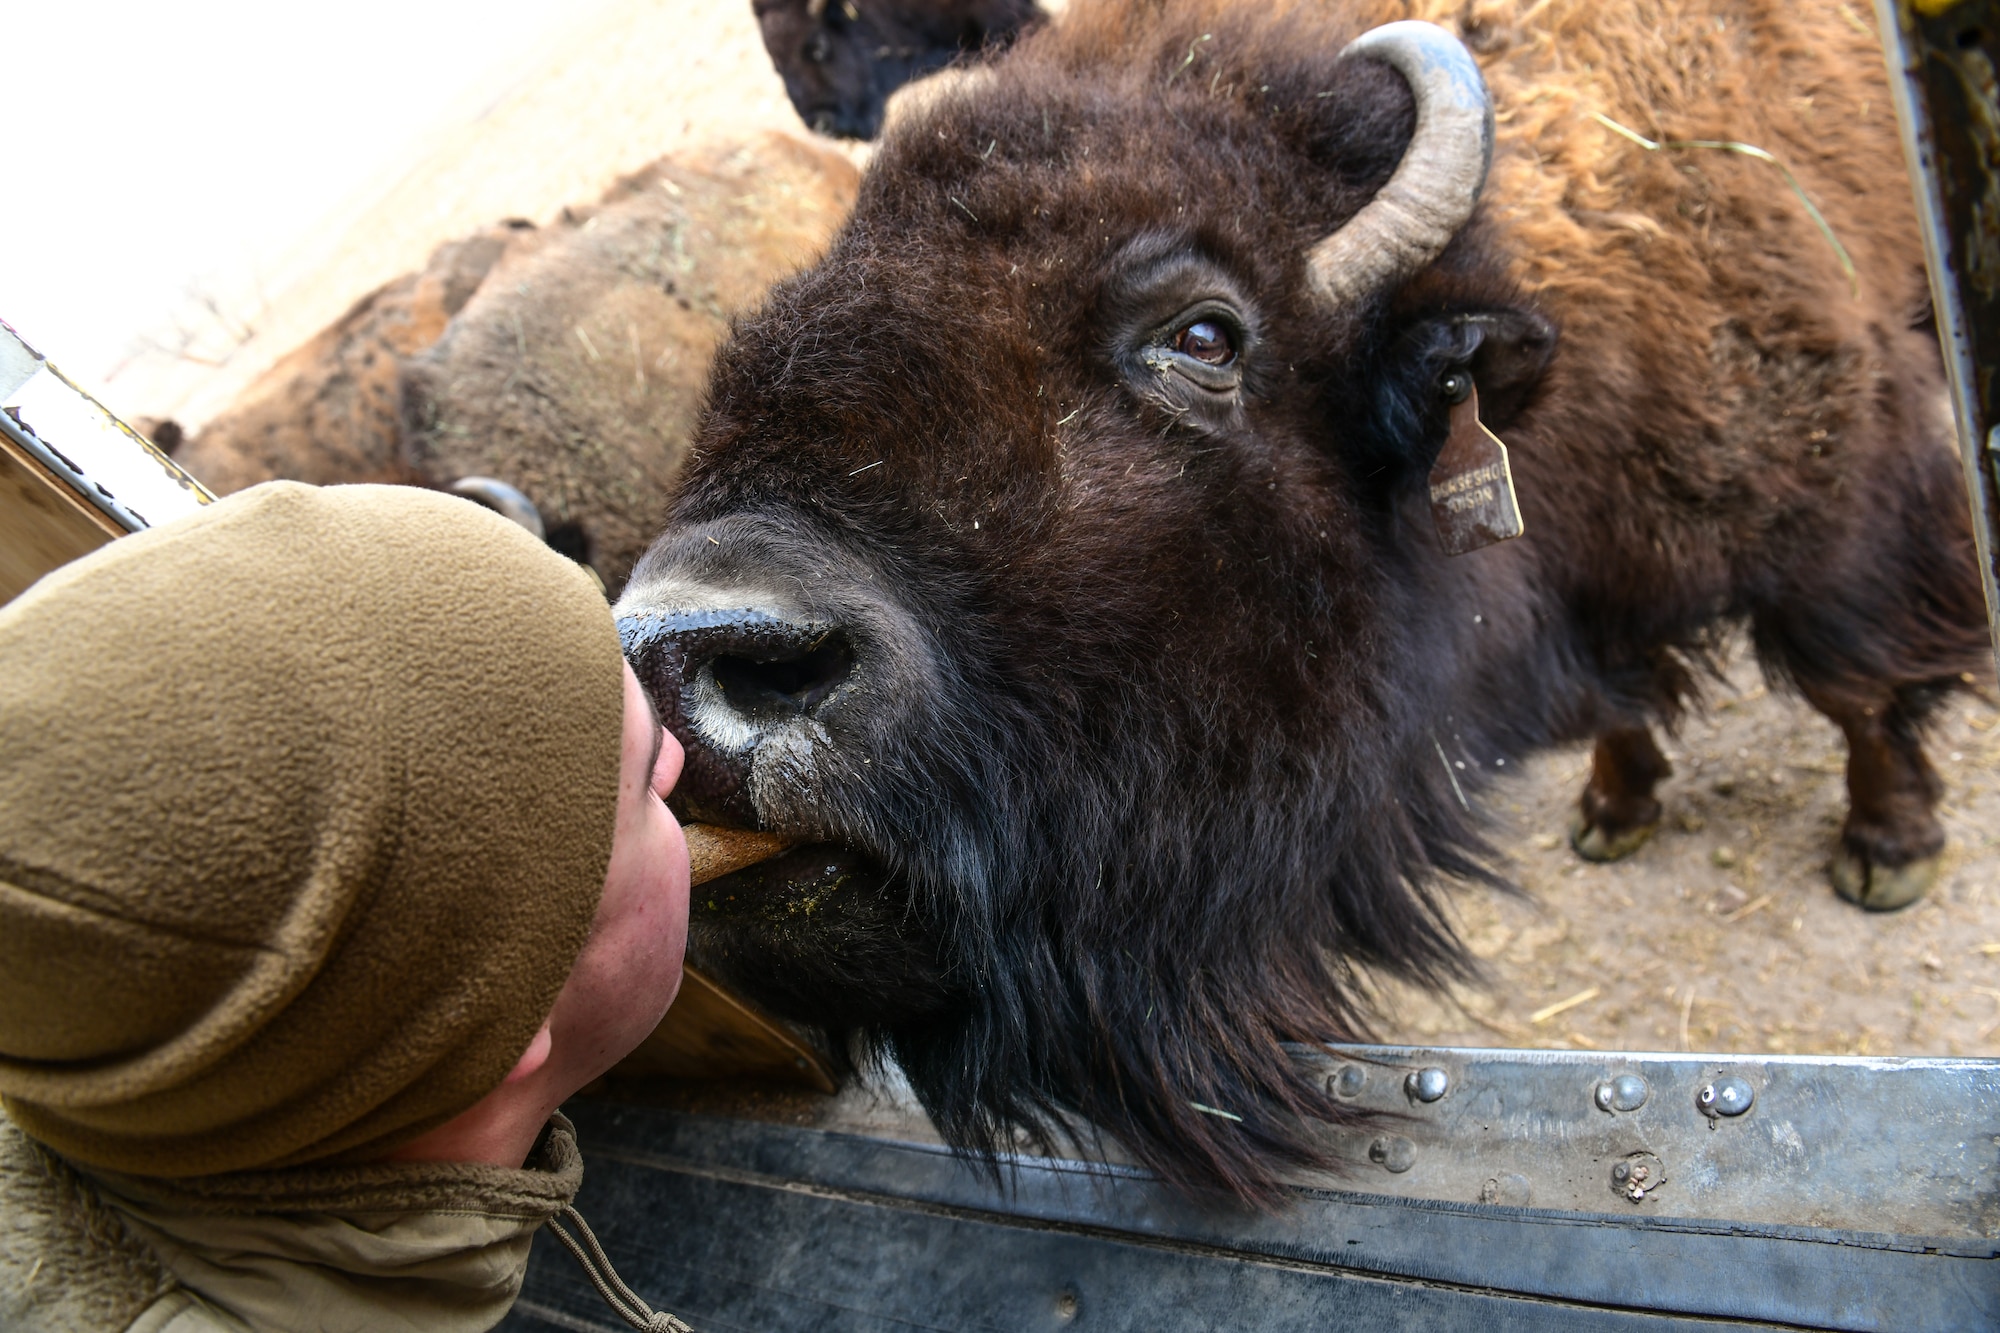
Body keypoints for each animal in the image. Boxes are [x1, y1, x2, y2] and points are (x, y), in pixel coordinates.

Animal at [616, 0, 1992, 1200]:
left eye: (1204, 335)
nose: (680, 653)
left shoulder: (1840, 496)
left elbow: (1856, 683)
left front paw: (1886, 851)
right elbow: (1621, 701)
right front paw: (1613, 810)